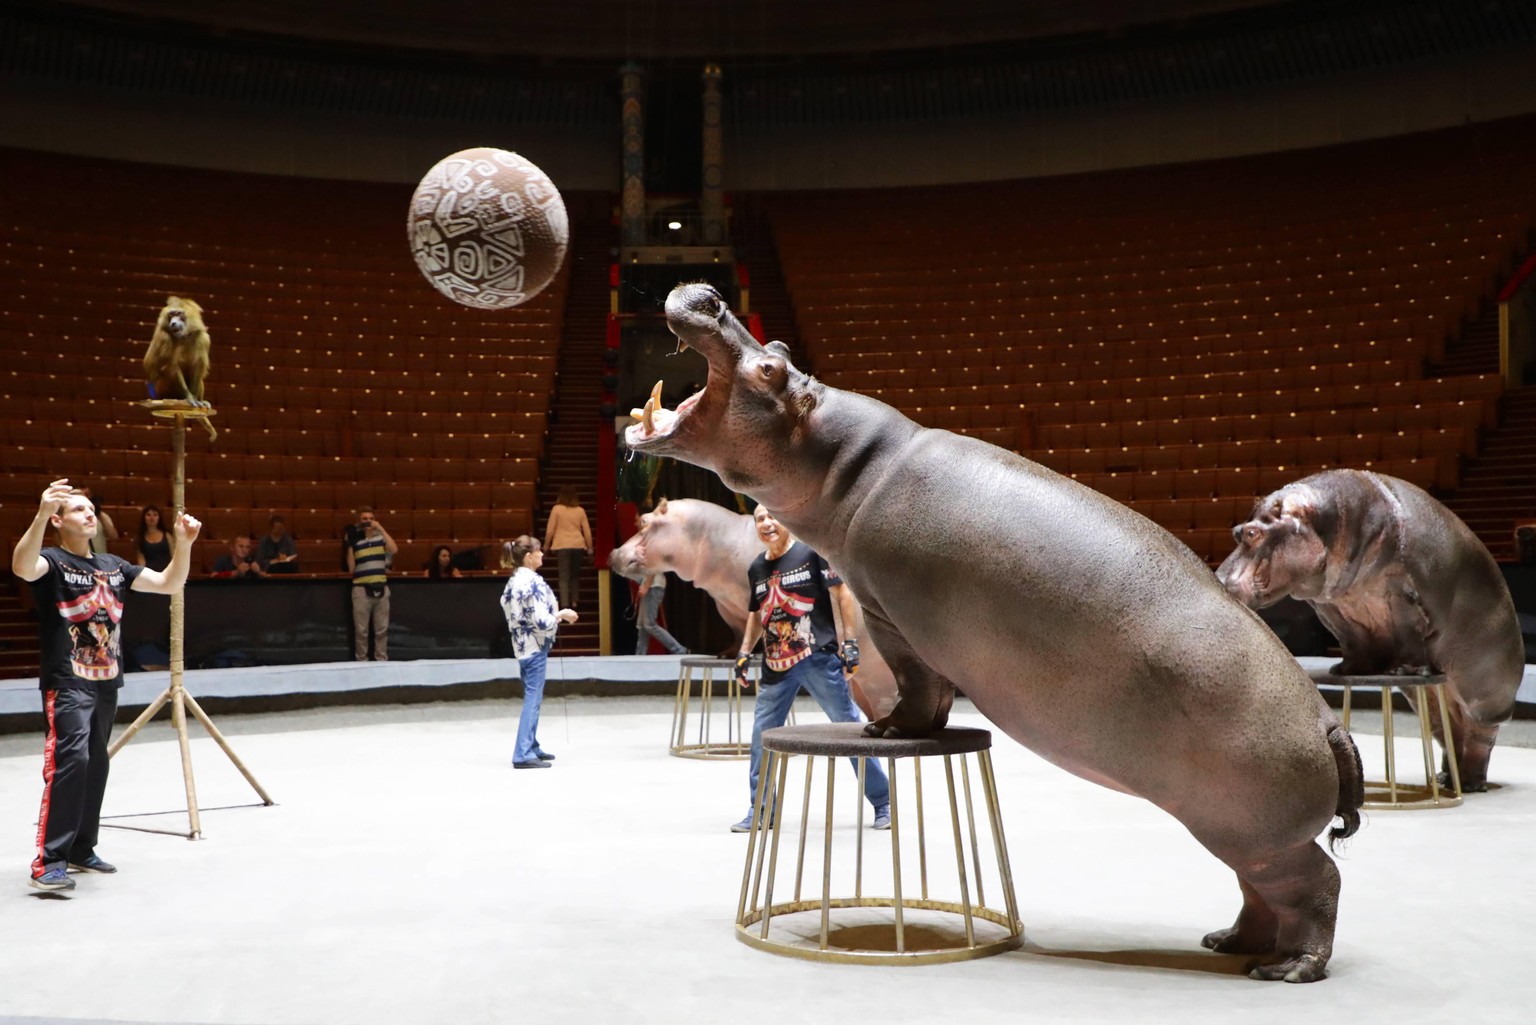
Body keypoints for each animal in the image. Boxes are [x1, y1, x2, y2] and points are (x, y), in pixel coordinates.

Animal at [605, 497, 897, 722]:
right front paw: (727, 656)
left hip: (877, 675)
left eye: (644, 521)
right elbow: (738, 632)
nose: (613, 553)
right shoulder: (724, 603)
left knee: (885, 700)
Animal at [1210, 470, 1523, 792]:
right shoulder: (1332, 605)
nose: (1216, 577)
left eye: (1251, 533)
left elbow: (1409, 633)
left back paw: (1471, 784)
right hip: (1430, 696)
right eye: (1237, 531)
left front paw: (1404, 670)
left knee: (1479, 739)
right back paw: (1446, 779)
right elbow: (1353, 640)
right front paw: (1346, 670)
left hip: (1483, 700)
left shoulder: (1401, 595)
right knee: (1447, 730)